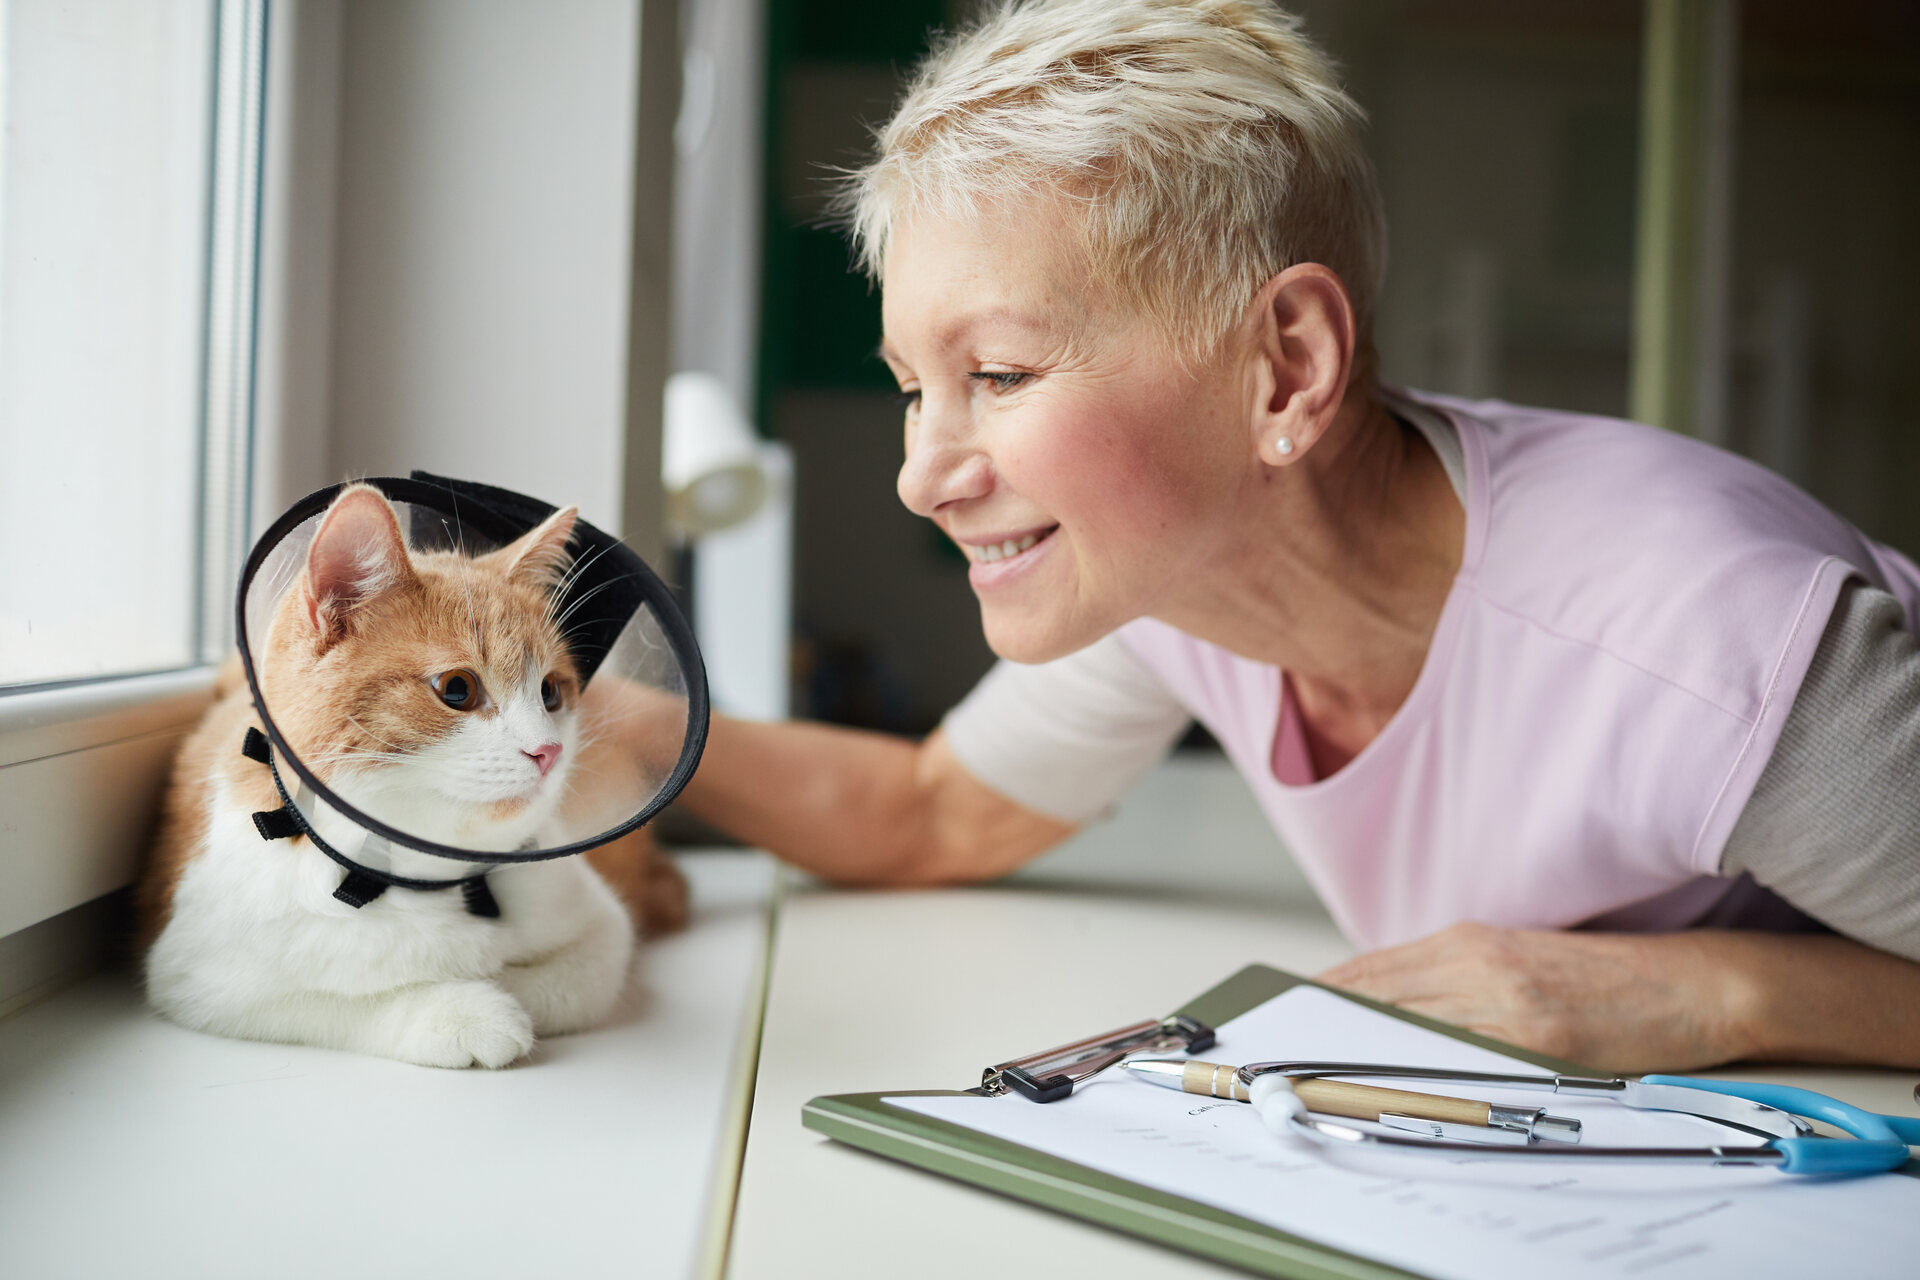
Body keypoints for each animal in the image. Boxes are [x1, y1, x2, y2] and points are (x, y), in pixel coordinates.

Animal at [139, 485, 691, 1066]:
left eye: (550, 692)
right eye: (457, 689)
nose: (549, 751)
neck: (424, 877)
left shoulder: (604, 927)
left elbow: (570, 983)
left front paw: (501, 984)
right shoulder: (198, 976)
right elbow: (335, 1002)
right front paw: (466, 1008)